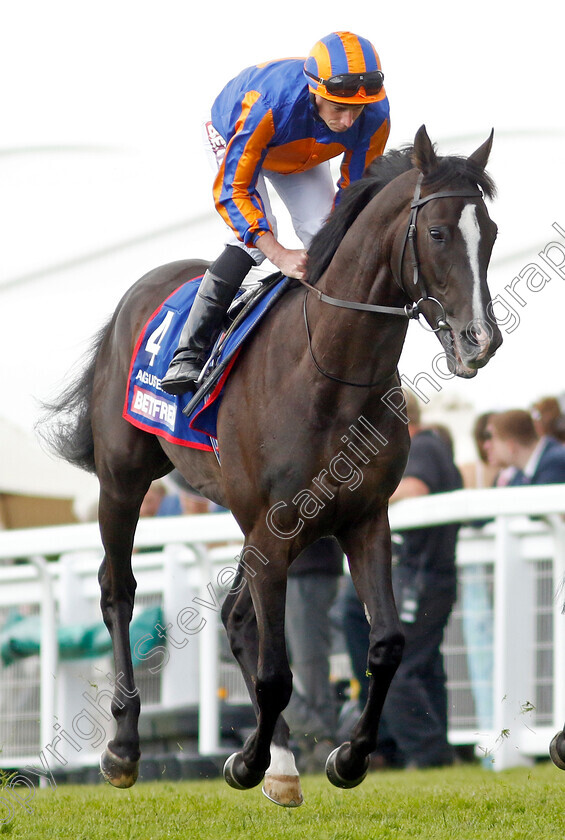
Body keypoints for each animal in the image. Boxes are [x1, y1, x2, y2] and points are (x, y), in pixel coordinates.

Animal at [43, 126, 502, 808]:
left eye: (491, 233)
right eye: (441, 233)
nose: (481, 341)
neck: (329, 371)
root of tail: (146, 287)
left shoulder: (362, 518)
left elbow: (386, 644)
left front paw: (345, 757)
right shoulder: (274, 523)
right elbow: (276, 672)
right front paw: (248, 761)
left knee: (237, 619)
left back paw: (281, 763)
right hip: (124, 480)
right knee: (118, 590)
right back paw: (125, 747)